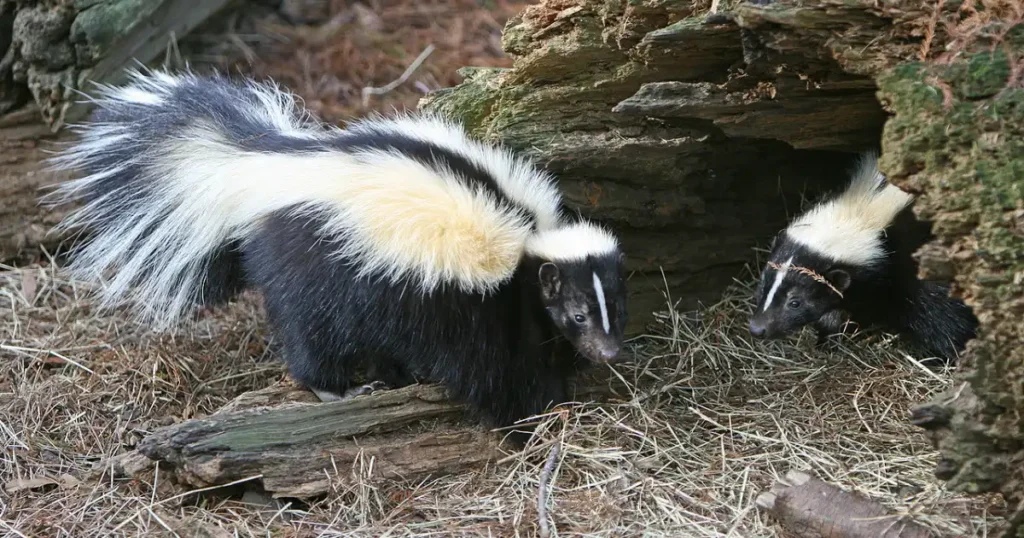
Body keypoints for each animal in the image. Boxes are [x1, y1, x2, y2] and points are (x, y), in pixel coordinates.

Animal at [51, 70, 626, 440]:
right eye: (578, 313)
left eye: (615, 309)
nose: (611, 352)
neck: (530, 243)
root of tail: (256, 168)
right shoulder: (479, 304)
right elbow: (495, 370)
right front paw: (532, 418)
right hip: (314, 269)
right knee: (311, 339)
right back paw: (338, 390)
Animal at [753, 151, 974, 360]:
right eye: (763, 285)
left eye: (795, 302)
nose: (757, 328)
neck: (861, 213)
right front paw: (829, 336)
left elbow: (943, 315)